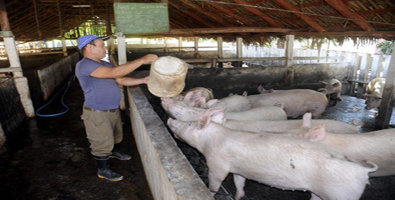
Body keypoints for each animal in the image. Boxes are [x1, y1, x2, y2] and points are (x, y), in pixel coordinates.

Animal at [167, 111, 378, 200]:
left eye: (190, 124)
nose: (169, 119)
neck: (212, 140)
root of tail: (361, 169)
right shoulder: (239, 169)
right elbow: (239, 182)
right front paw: (239, 196)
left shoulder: (217, 164)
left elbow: (214, 183)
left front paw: (210, 191)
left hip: (342, 194)